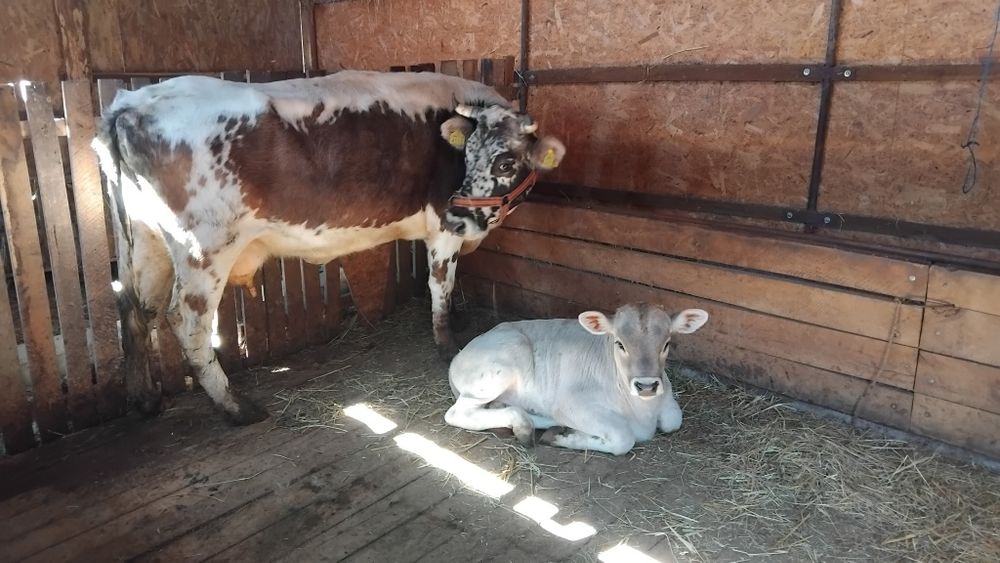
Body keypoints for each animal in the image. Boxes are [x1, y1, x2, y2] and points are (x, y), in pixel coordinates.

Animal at [92, 71, 565, 424]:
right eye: (468, 156)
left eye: (505, 161)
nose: (460, 214)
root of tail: (132, 103)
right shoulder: (443, 232)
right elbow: (440, 287)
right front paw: (447, 344)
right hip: (203, 248)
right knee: (185, 320)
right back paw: (234, 406)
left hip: (144, 236)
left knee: (136, 307)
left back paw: (145, 399)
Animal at [445, 303, 709, 455]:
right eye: (620, 343)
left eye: (666, 344)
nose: (646, 385)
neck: (643, 412)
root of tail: (458, 355)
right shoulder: (571, 403)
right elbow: (623, 438)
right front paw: (564, 438)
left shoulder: (668, 397)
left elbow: (673, 420)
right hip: (501, 365)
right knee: (458, 413)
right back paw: (524, 426)